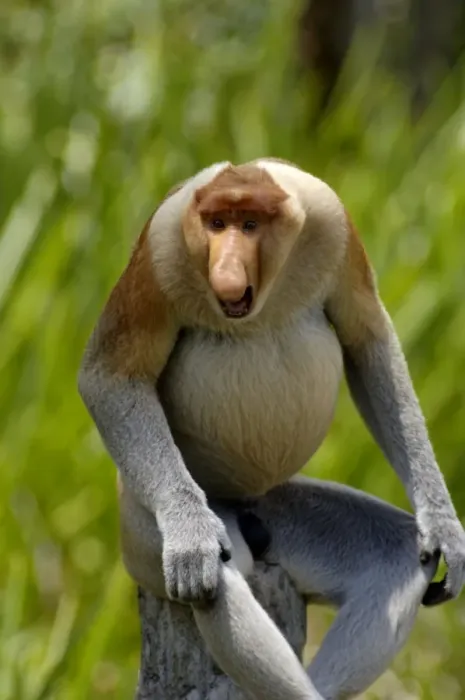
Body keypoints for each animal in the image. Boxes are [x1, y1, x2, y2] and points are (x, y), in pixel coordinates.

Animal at [78, 159, 465, 699]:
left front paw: (444, 527)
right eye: (216, 223)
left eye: (250, 224)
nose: (225, 269)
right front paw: (191, 535)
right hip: (138, 525)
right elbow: (110, 377)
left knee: (395, 554)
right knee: (218, 578)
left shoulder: (335, 223)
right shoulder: (160, 249)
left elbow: (369, 340)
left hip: (282, 508)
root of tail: (247, 510)